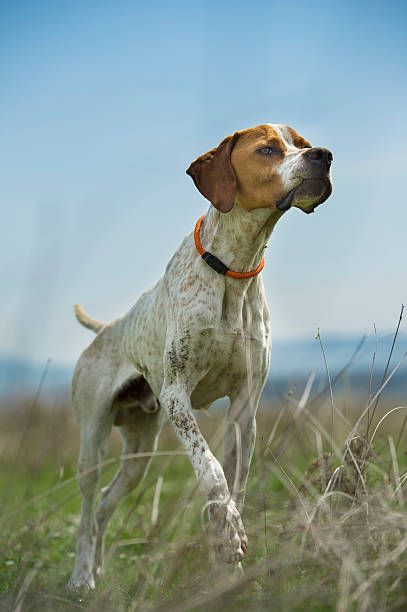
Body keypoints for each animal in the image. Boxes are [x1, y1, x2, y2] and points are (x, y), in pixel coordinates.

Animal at [68, 123, 334, 588]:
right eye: (267, 149)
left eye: (301, 144)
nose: (323, 155)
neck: (234, 269)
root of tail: (105, 329)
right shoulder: (178, 396)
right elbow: (210, 471)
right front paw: (228, 535)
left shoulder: (245, 407)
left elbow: (235, 483)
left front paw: (230, 563)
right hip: (93, 441)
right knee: (86, 510)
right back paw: (83, 577)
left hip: (140, 451)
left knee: (103, 503)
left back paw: (98, 568)